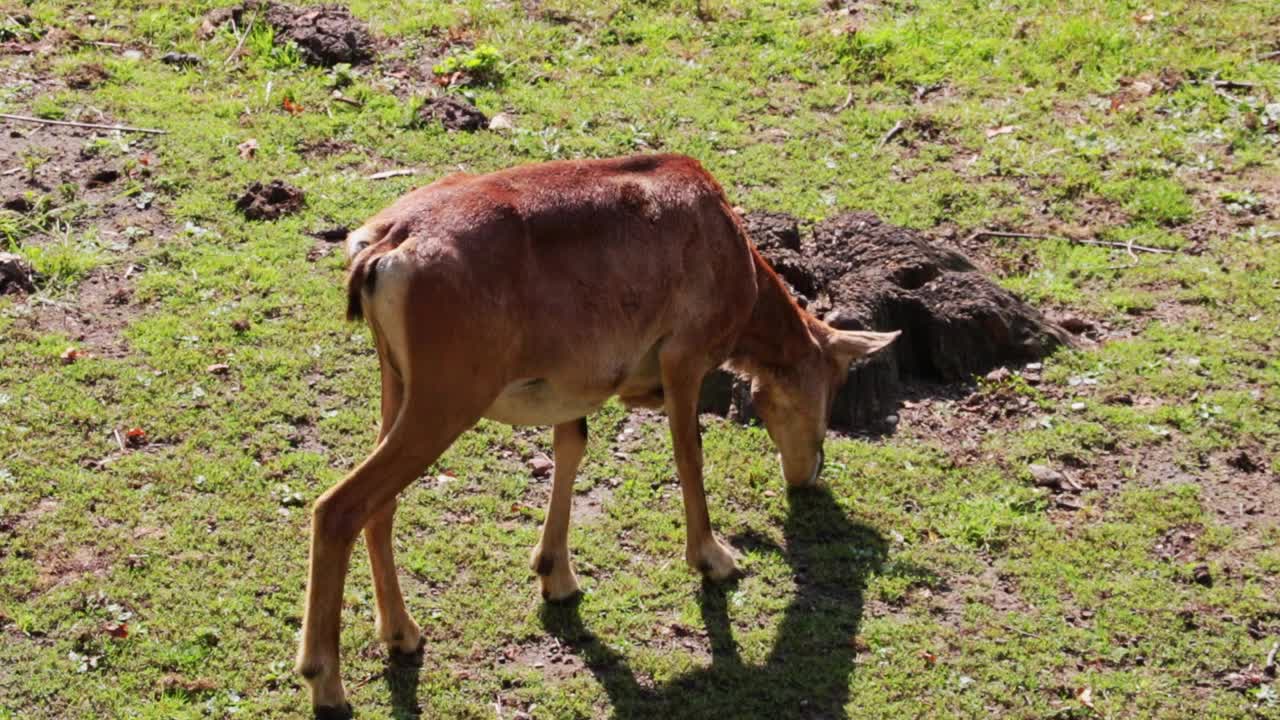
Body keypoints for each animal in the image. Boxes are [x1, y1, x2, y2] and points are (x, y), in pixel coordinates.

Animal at [296, 151, 901, 712]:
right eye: (832, 383)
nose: (808, 473)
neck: (725, 245)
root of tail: (384, 248)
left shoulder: (572, 387)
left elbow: (572, 447)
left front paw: (556, 577)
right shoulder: (683, 360)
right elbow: (689, 454)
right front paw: (716, 560)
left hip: (399, 388)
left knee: (381, 506)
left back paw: (402, 635)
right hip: (444, 402)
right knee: (339, 508)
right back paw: (326, 684)